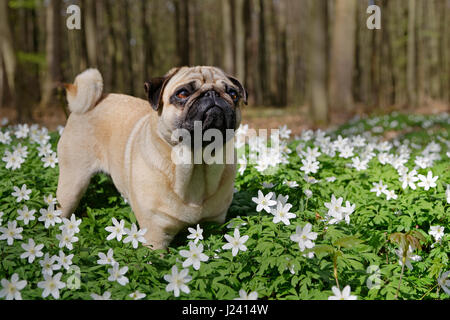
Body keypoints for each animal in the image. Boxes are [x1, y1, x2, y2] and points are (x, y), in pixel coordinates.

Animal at [57, 65, 248, 250]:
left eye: (233, 94)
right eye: (182, 93)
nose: (212, 94)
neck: (197, 164)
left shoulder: (214, 224)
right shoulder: (155, 236)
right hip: (72, 184)